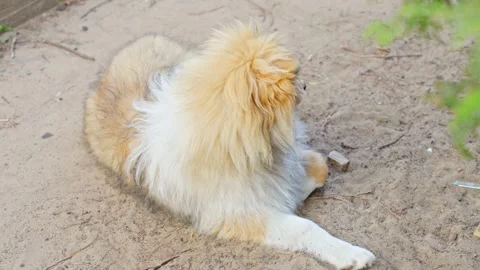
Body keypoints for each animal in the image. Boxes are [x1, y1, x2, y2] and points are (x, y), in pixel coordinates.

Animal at [84, 22, 376, 268]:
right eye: (294, 81)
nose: (304, 86)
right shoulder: (238, 215)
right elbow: (302, 225)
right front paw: (350, 254)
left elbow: (318, 166)